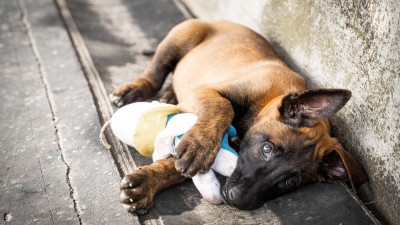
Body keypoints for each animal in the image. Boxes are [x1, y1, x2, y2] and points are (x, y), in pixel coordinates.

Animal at [111, 18, 368, 213]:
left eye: (291, 181)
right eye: (267, 149)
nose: (237, 200)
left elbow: (177, 165)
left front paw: (147, 183)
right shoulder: (204, 90)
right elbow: (223, 106)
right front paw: (199, 148)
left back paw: (168, 96)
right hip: (180, 37)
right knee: (155, 73)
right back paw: (133, 90)